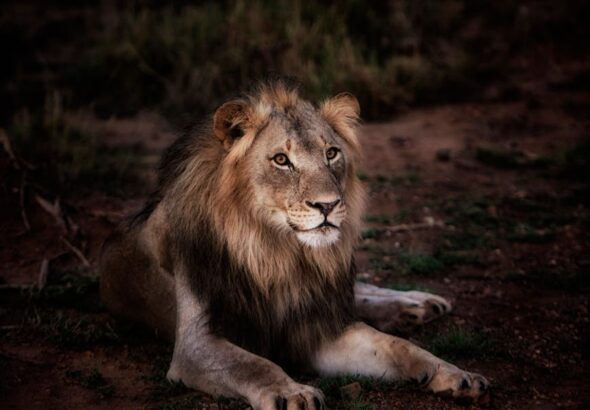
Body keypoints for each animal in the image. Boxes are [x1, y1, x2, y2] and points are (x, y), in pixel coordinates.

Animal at [100, 81, 490, 410]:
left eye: (331, 153)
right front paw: (293, 393)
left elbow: (399, 347)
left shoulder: (318, 325)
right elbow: (254, 365)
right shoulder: (196, 345)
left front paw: (455, 373)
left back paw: (417, 303)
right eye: (281, 160)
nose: (328, 205)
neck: (279, 254)